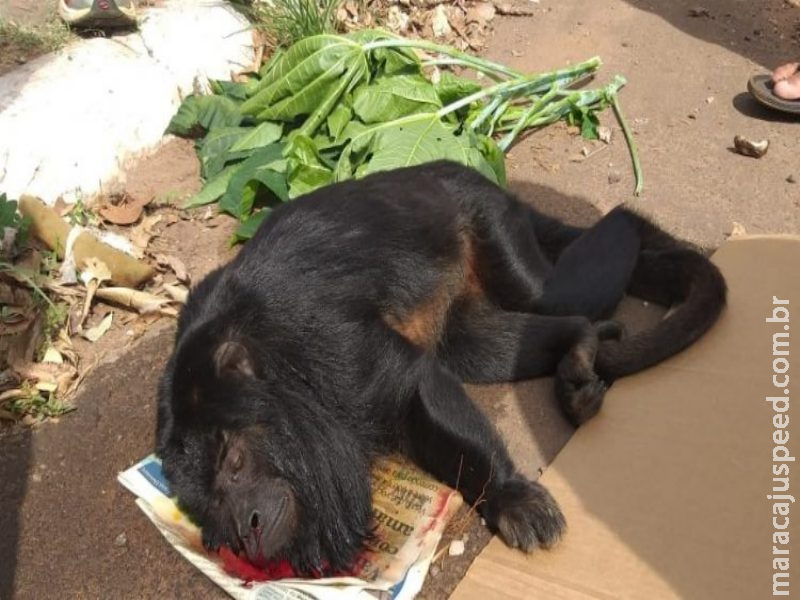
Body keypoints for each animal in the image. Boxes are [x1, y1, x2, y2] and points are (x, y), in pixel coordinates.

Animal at [155, 162, 724, 576]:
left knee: (551, 293)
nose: (245, 527)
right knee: (477, 345)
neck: (262, 352)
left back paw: (630, 227)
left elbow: (412, 387)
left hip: (483, 214)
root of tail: (453, 168)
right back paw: (578, 342)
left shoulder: (320, 335)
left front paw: (507, 494)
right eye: (209, 506)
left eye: (235, 462)